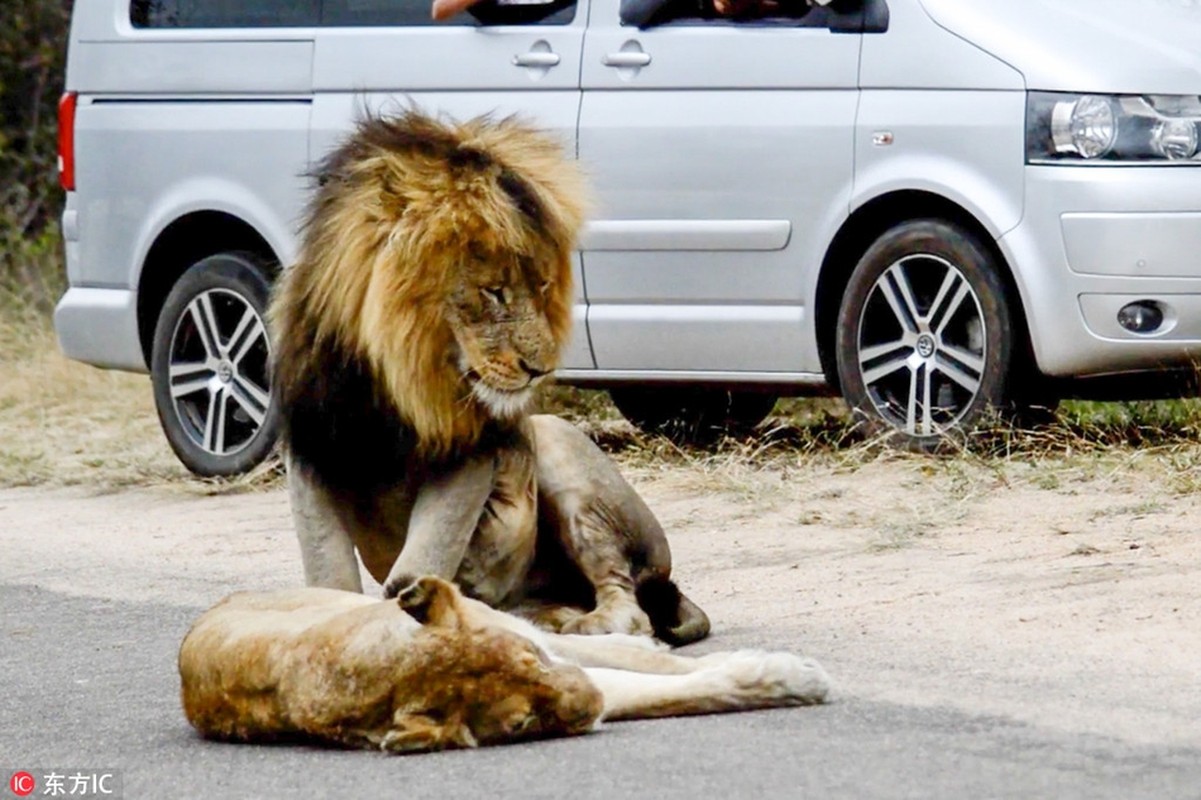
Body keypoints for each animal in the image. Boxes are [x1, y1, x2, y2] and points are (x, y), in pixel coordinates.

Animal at [177, 574, 831, 749]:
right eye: (521, 724)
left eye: (531, 660)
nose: (590, 706)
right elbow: (680, 690)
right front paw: (787, 678)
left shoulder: (552, 654)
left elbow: (677, 678)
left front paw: (795, 674)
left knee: (607, 645)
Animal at [272, 110, 710, 643]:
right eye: (494, 291)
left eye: (542, 286)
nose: (541, 370)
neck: (387, 381)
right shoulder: (310, 449)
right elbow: (326, 569)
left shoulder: (470, 449)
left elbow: (425, 553)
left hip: (560, 450)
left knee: (629, 603)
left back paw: (586, 626)